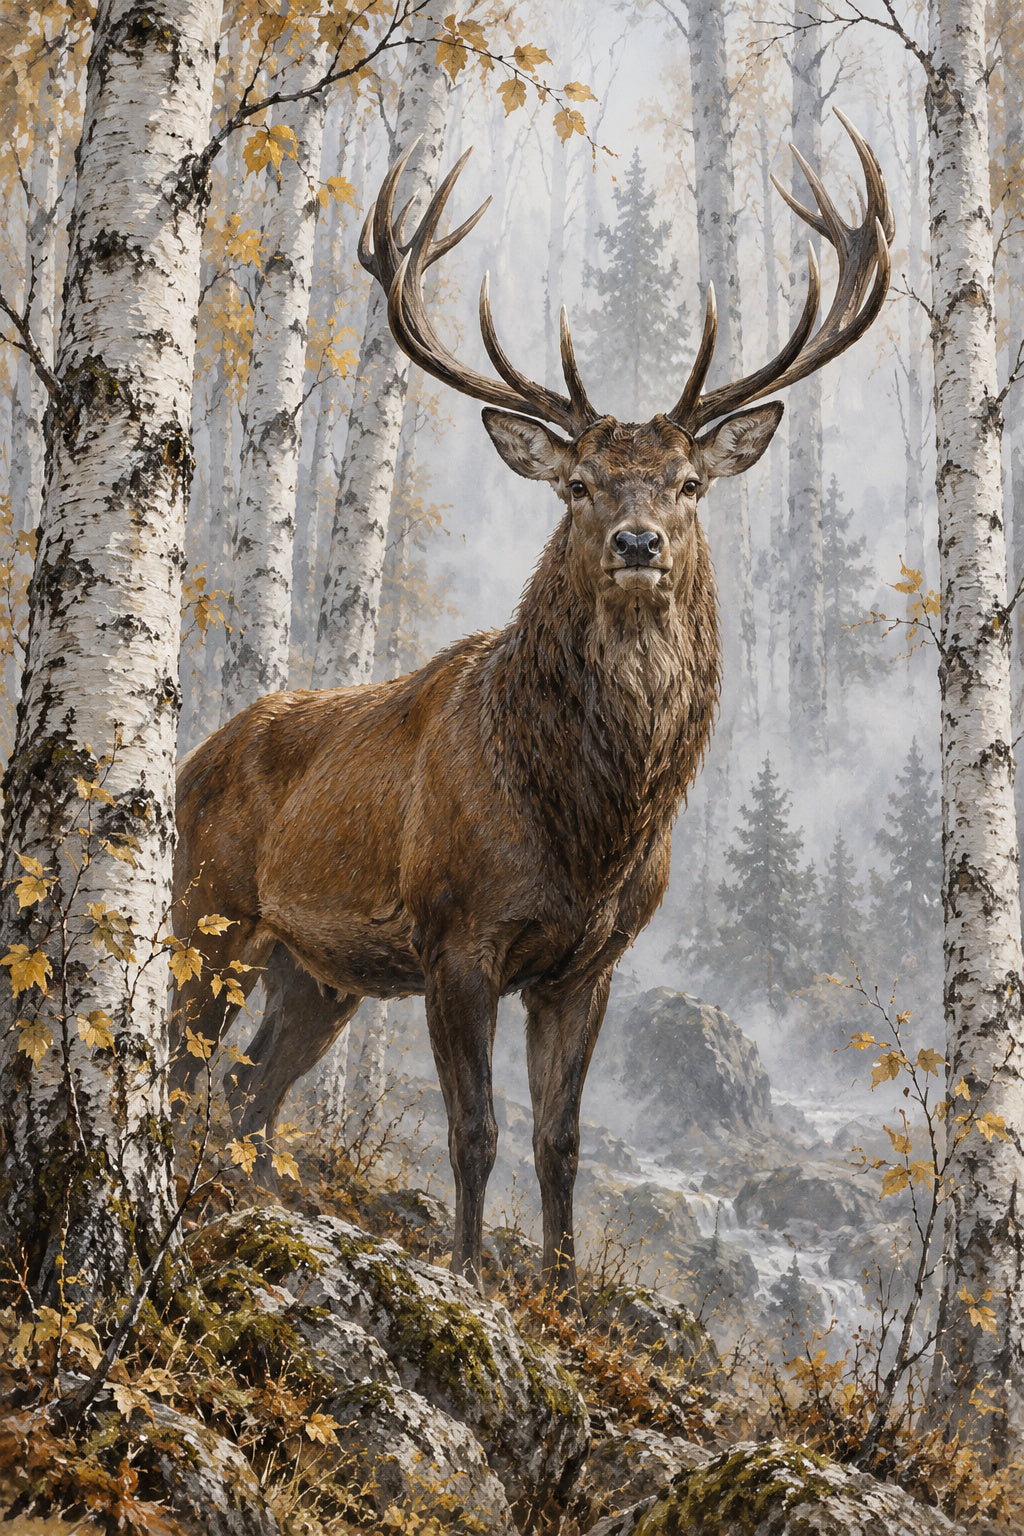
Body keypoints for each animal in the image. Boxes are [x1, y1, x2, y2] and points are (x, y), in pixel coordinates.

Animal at [173, 111, 892, 1297]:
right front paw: (468, 1271)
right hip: (213, 909)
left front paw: (561, 1292)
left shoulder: (587, 962)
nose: (637, 542)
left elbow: (562, 1141)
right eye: (578, 484)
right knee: (184, 1063)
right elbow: (476, 1129)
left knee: (245, 1090)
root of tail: (193, 755)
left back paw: (251, 1196)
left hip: (317, 974)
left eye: (690, 483)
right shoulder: (454, 935)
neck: (586, 828)